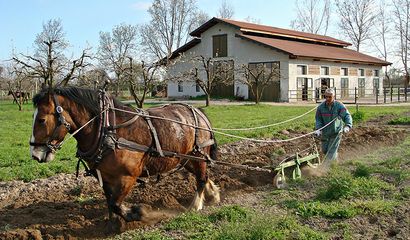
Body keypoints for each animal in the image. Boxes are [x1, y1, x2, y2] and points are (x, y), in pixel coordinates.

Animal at [30, 86, 219, 221]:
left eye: (41, 120)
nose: (35, 154)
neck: (108, 131)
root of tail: (199, 112)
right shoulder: (104, 176)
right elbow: (110, 202)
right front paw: (113, 224)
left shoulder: (128, 176)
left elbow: (116, 203)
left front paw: (137, 213)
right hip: (186, 159)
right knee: (204, 176)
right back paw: (214, 195)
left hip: (198, 156)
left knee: (201, 179)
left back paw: (195, 206)